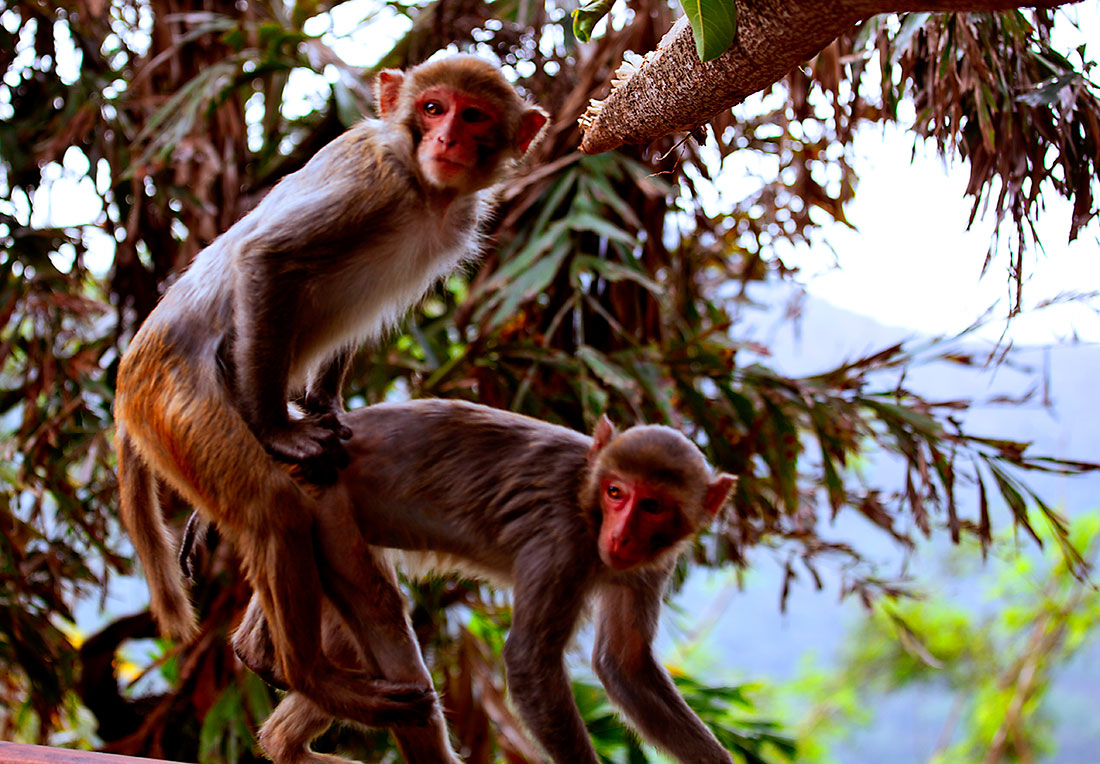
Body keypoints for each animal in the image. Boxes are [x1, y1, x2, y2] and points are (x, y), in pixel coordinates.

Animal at [113, 55, 550, 729]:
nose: (448, 139)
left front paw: (324, 405)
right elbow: (267, 259)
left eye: (472, 115)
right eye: (433, 109)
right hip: (172, 402)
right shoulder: (374, 187)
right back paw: (313, 678)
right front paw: (280, 431)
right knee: (271, 511)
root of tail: (129, 377)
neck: (426, 193)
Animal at [225, 400, 739, 764]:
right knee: (379, 613)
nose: (623, 534)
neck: (588, 504)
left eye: (652, 505)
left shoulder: (652, 564)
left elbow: (624, 666)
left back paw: (280, 728)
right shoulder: (561, 543)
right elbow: (529, 662)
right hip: (322, 505)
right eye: (617, 492)